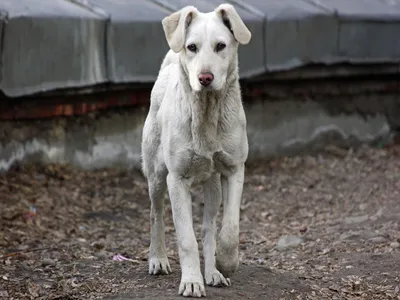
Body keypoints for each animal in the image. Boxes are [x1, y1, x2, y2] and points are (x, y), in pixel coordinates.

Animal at [141, 4, 250, 298]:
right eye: (191, 47)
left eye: (221, 45)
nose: (205, 78)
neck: (207, 113)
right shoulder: (176, 179)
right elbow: (186, 238)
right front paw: (191, 281)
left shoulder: (234, 170)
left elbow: (229, 228)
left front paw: (226, 263)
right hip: (156, 176)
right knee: (156, 214)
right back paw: (158, 259)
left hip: (212, 187)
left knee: (209, 227)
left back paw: (212, 272)